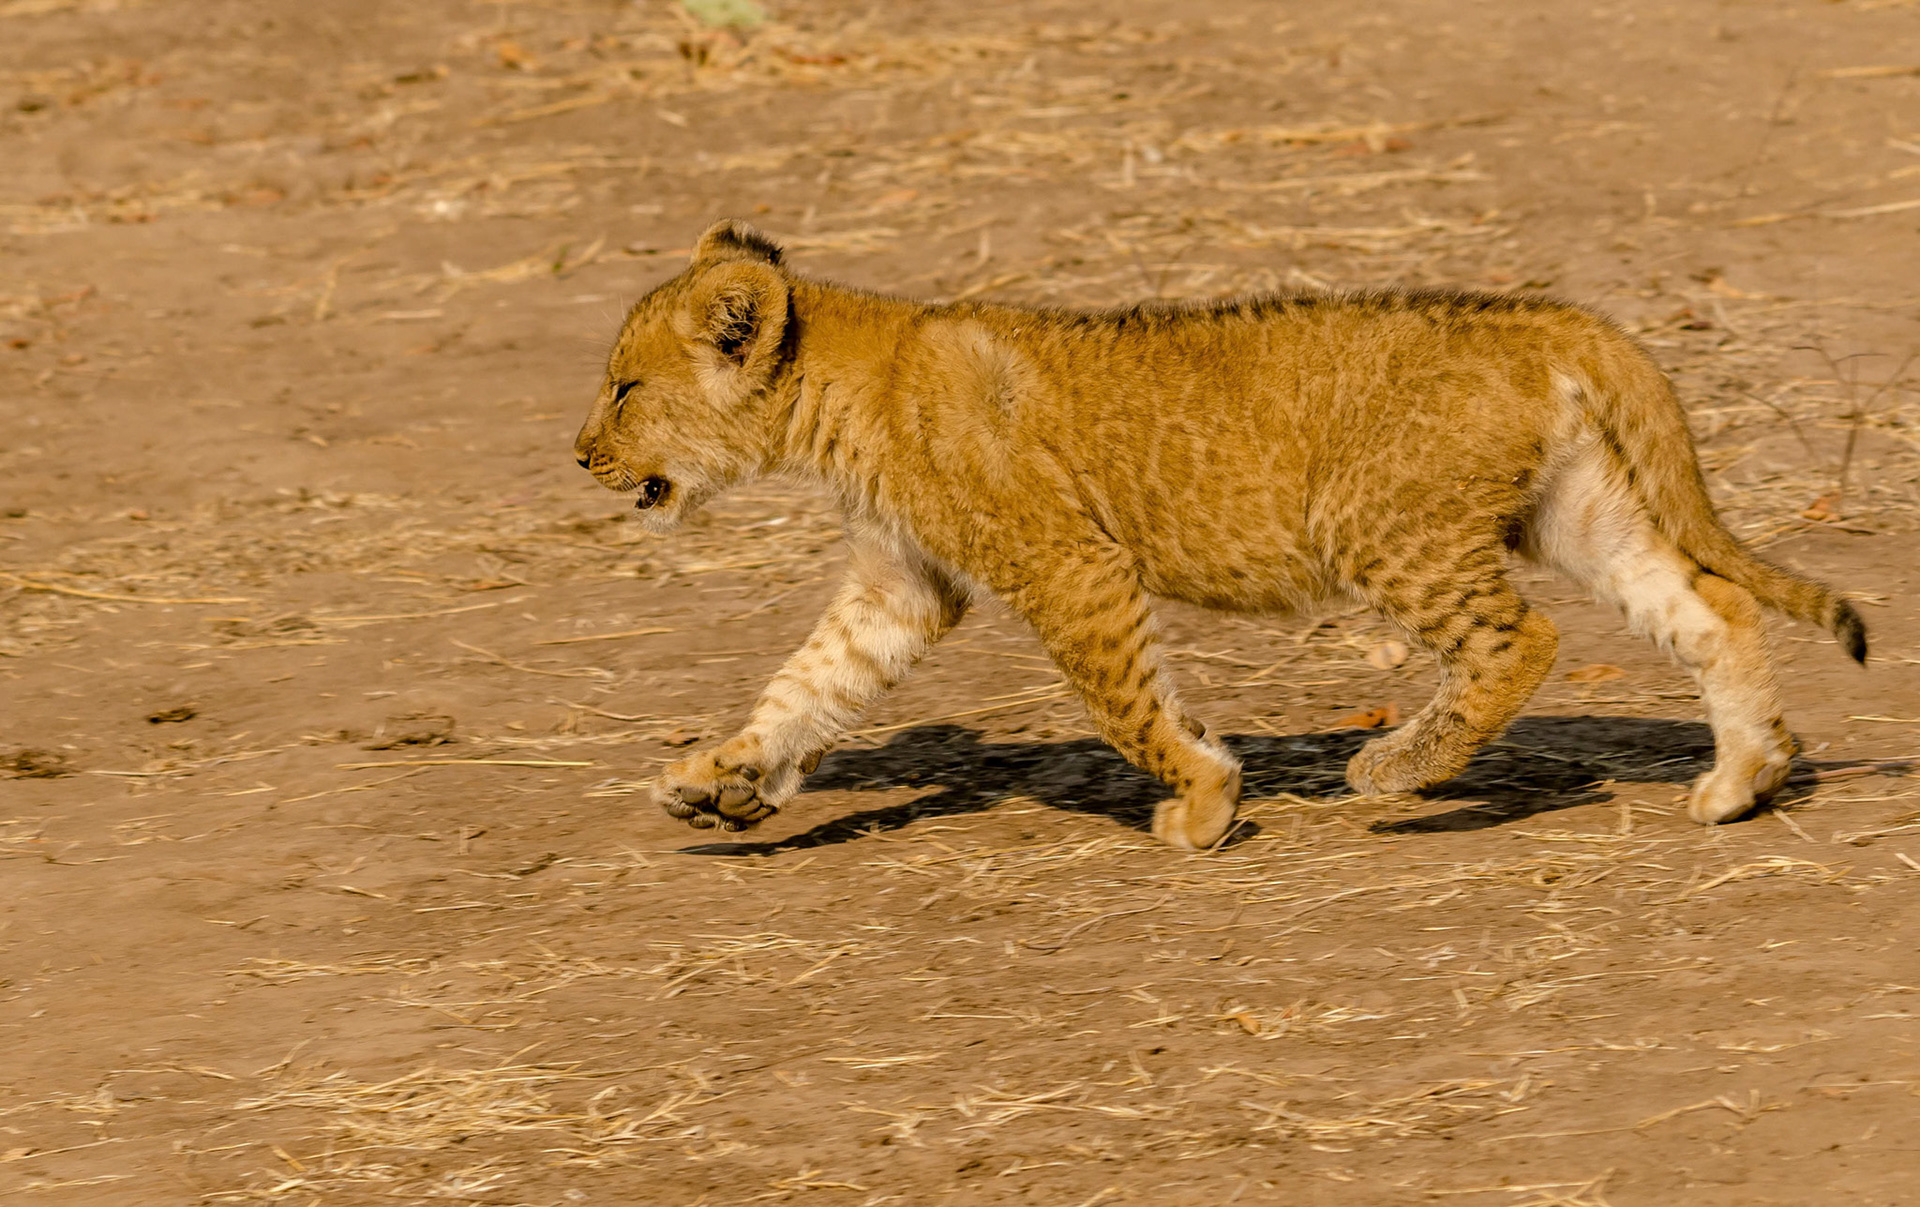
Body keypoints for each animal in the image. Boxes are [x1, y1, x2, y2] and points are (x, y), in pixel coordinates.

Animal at [572, 219, 1866, 850]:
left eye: (625, 388)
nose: (579, 454)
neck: (846, 386)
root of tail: (1544, 316)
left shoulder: (1070, 564)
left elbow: (1128, 705)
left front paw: (1203, 799)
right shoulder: (904, 586)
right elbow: (809, 682)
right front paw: (723, 781)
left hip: (1377, 521)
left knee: (1523, 642)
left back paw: (1396, 770)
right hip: (1581, 509)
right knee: (1713, 607)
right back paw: (1741, 780)